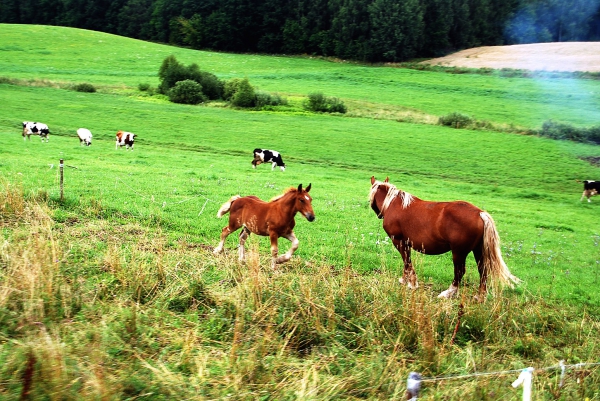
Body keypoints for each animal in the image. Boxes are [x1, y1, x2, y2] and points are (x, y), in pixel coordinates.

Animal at [368, 177, 516, 298]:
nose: (379, 215)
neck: (394, 204)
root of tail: (480, 213)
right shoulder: (405, 243)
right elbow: (407, 261)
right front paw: (407, 280)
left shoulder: (399, 241)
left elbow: (407, 261)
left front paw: (410, 282)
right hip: (478, 250)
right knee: (483, 271)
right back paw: (480, 296)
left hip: (459, 252)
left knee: (460, 271)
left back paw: (449, 292)